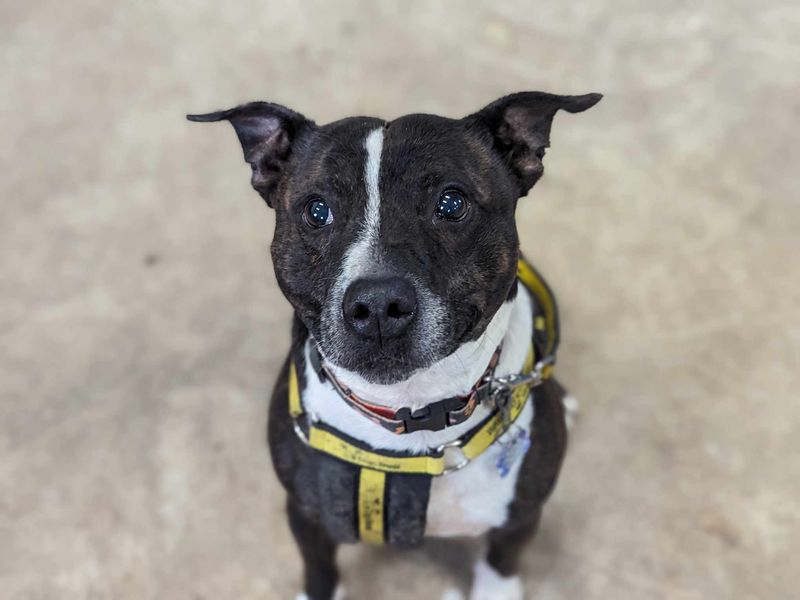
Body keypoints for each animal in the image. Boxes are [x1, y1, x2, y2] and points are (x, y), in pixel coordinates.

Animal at [188, 90, 600, 600]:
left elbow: (499, 569)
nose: (378, 305)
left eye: (451, 203)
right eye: (316, 211)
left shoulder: (519, 519)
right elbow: (319, 573)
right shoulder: (307, 515)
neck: (413, 415)